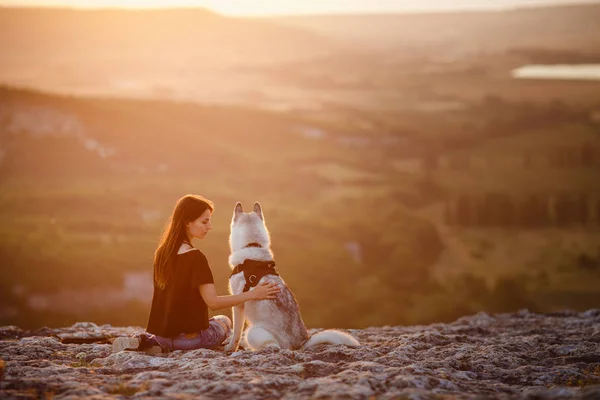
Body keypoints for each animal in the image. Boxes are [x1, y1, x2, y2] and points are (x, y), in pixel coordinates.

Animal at [224, 202, 356, 352]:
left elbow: (236, 333)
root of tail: (300, 343)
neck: (252, 245)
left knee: (273, 345)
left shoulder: (238, 305)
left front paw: (230, 348)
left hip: (252, 332)